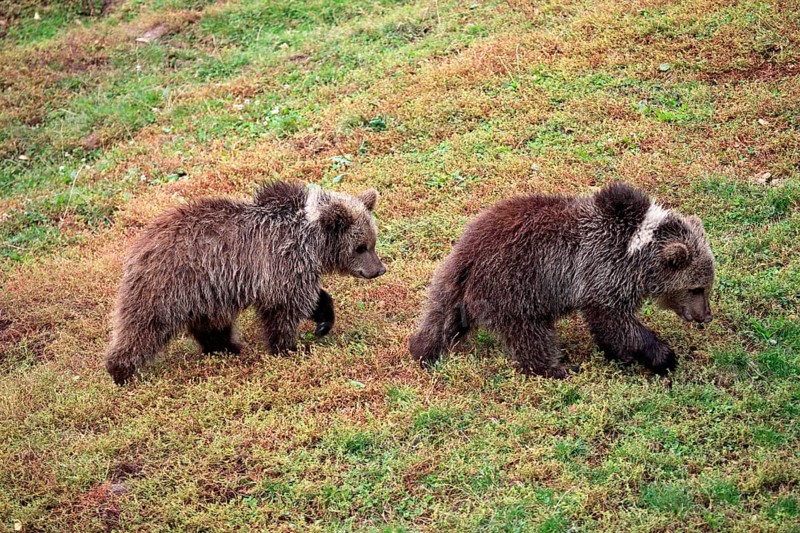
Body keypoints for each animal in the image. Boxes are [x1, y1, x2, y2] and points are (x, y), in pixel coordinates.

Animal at [104, 181, 385, 385]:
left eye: (372, 242)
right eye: (360, 247)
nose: (379, 269)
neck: (311, 240)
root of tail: (140, 244)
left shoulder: (293, 270)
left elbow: (312, 297)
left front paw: (323, 322)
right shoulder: (280, 261)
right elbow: (284, 310)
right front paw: (288, 348)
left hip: (208, 293)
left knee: (212, 325)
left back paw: (228, 347)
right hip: (169, 285)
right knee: (143, 326)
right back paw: (121, 372)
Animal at [408, 182, 714, 378]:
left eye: (706, 286)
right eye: (696, 288)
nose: (706, 316)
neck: (636, 249)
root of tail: (466, 253)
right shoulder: (602, 270)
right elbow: (615, 321)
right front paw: (663, 356)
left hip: (458, 285)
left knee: (441, 318)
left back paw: (422, 349)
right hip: (517, 285)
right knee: (530, 335)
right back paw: (558, 368)